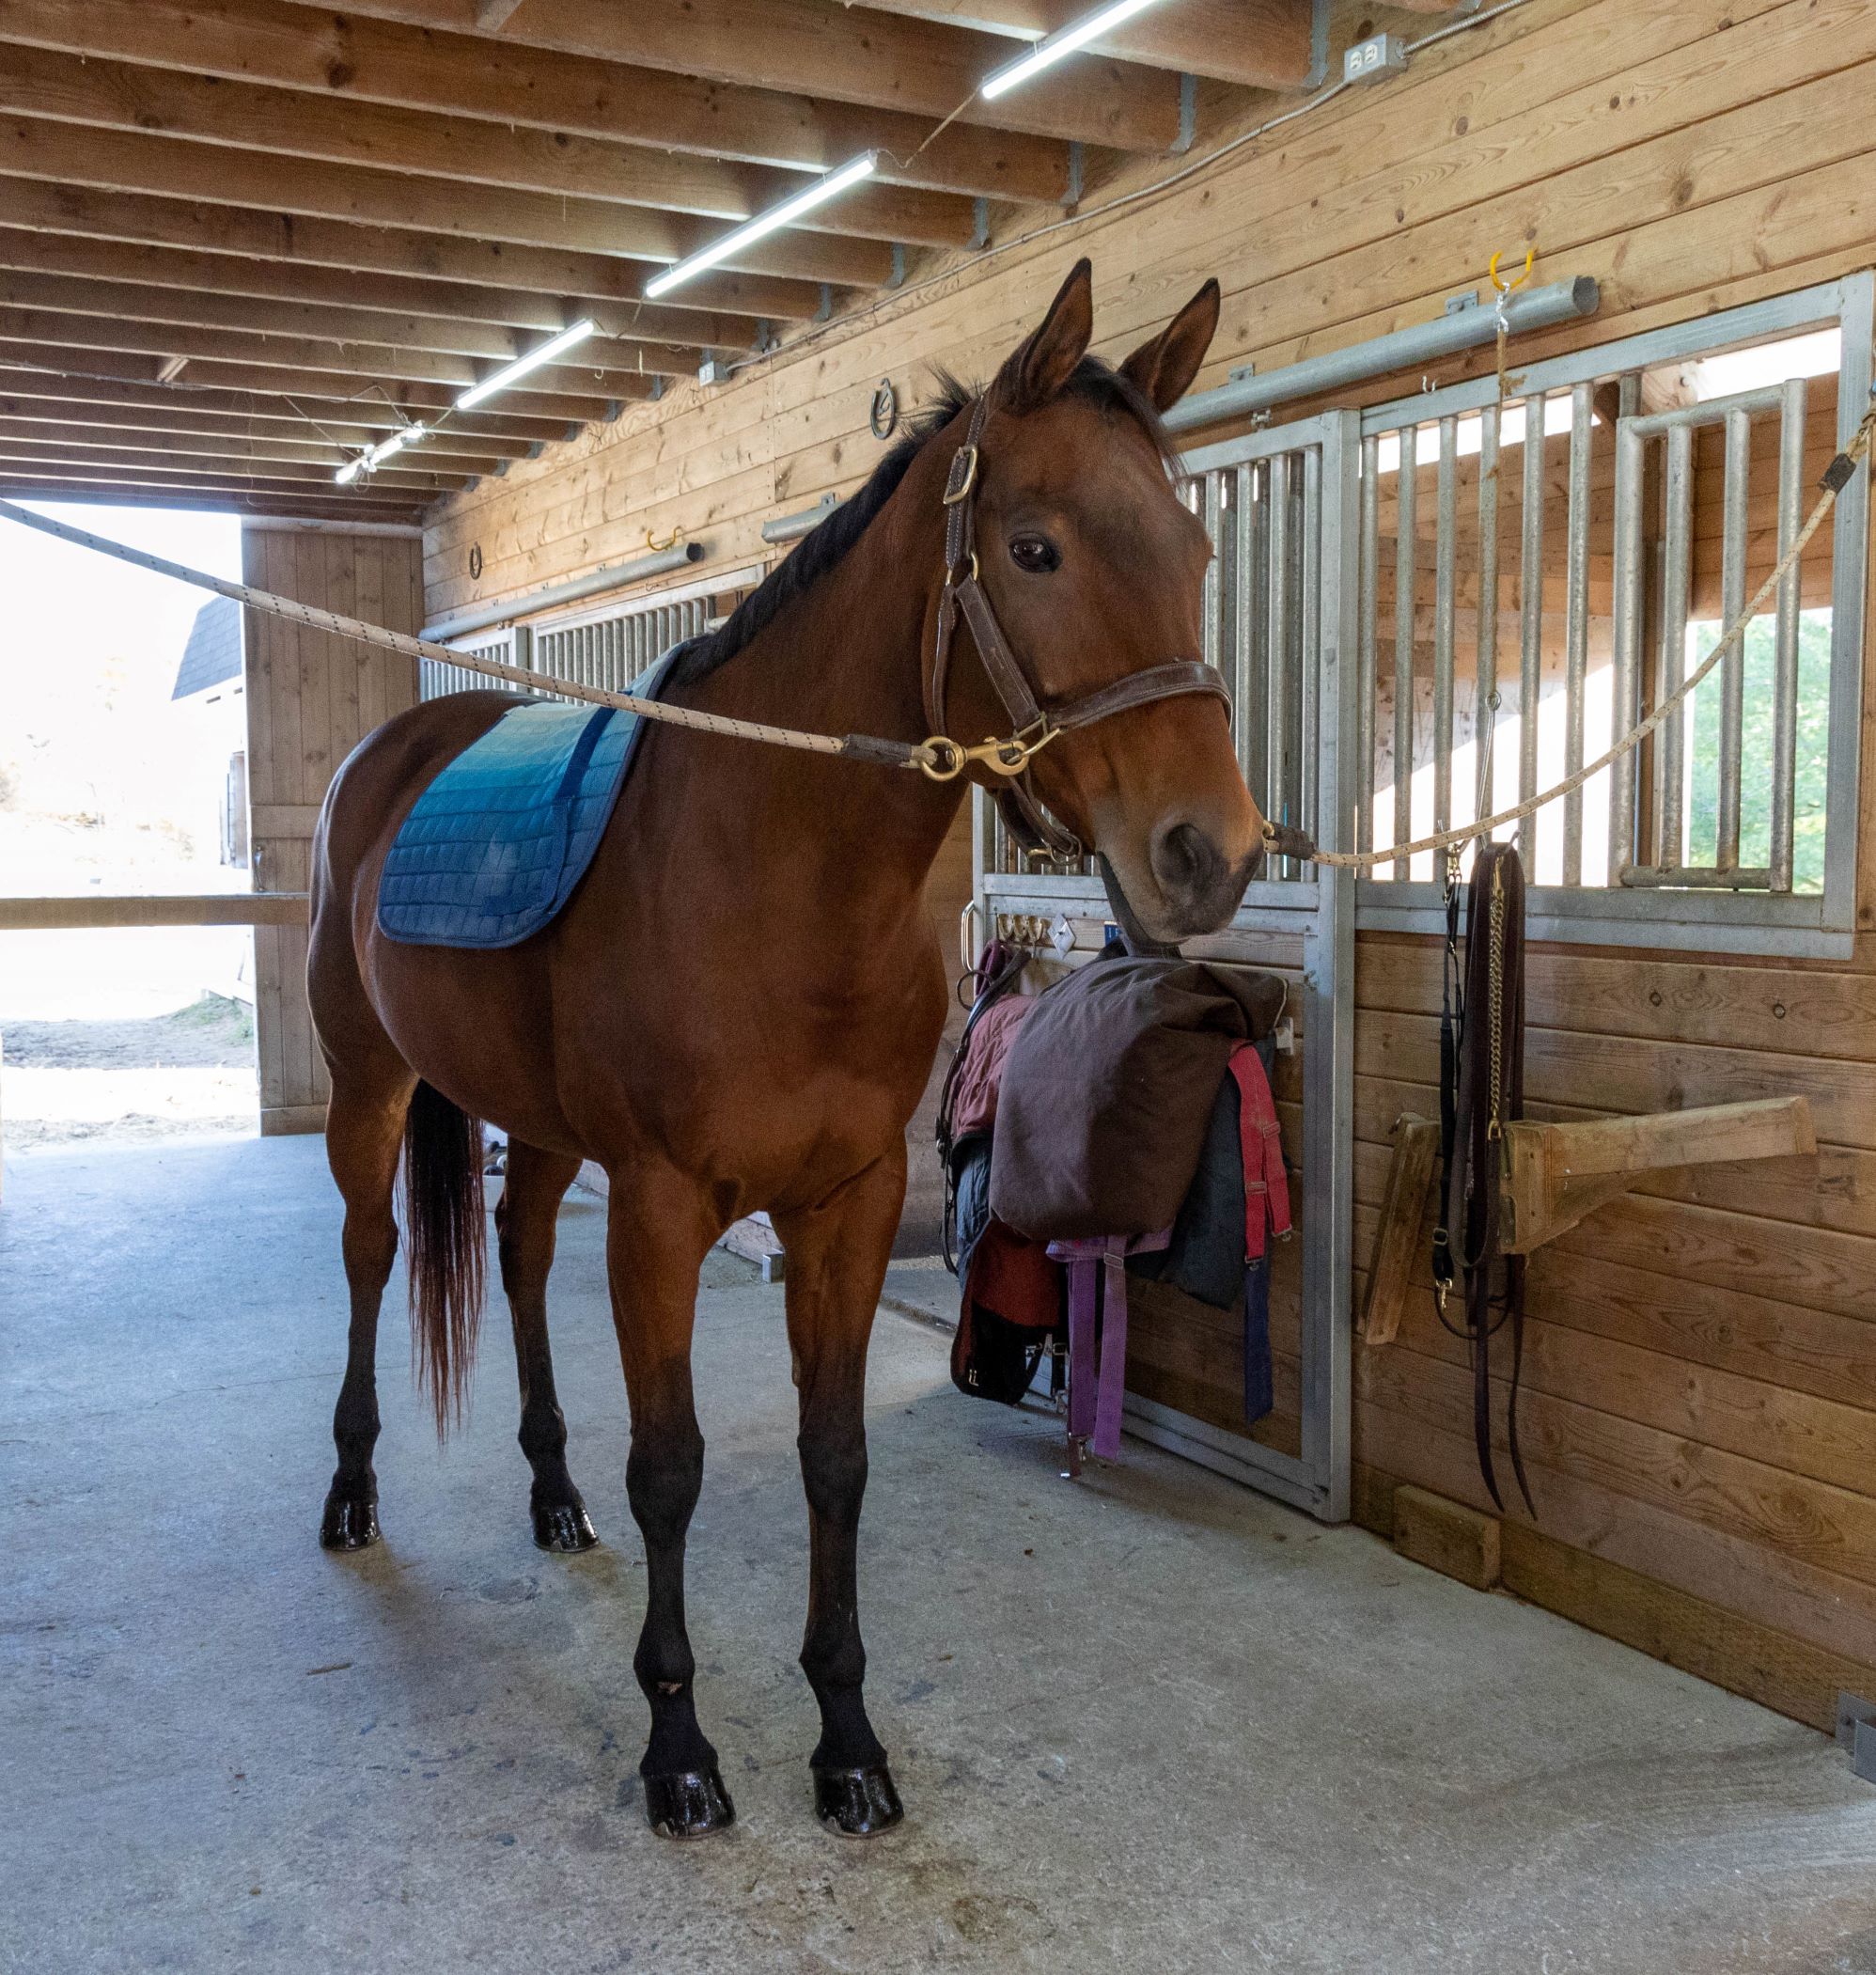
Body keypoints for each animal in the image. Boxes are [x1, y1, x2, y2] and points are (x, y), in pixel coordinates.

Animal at [306, 258, 1267, 1840]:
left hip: (542, 1129)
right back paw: (351, 1495)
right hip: (371, 1091)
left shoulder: (849, 1205)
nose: (1214, 855)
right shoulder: (658, 1211)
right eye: (1036, 548)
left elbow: (836, 1457)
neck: (768, 876)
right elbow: (674, 1467)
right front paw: (680, 1752)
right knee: (376, 1258)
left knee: (517, 1251)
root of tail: (394, 754)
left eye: (1193, 546)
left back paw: (549, 1496)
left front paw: (848, 1742)